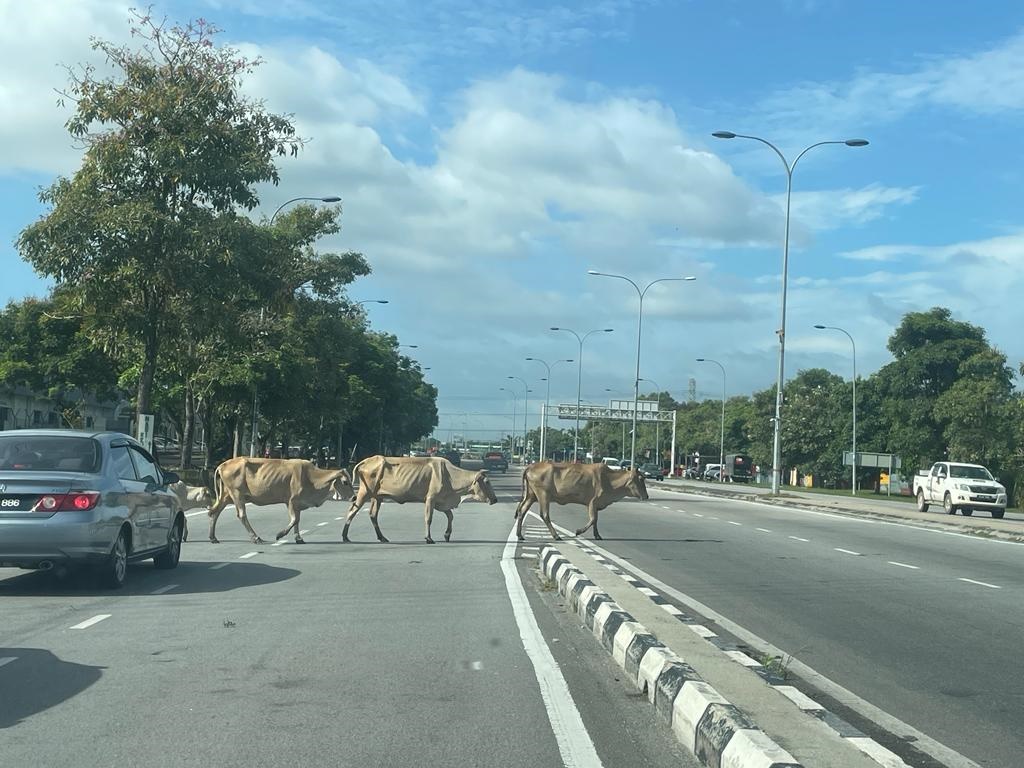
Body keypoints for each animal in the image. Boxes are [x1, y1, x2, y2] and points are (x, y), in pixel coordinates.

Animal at [205, 460, 354, 544]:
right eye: (345, 482)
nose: (353, 498)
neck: (311, 478)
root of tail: (222, 465)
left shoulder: (297, 504)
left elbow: (297, 521)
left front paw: (299, 538)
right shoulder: (291, 501)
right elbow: (294, 520)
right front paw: (280, 534)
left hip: (226, 496)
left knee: (214, 512)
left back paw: (213, 538)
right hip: (237, 495)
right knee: (241, 515)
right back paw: (256, 538)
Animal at [342, 456, 497, 548]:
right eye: (487, 482)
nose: (495, 499)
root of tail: (368, 459)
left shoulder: (441, 502)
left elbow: (450, 515)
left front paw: (447, 534)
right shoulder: (431, 499)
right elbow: (429, 518)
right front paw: (428, 538)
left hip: (377, 496)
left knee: (373, 515)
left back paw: (382, 537)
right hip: (364, 493)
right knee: (352, 511)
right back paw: (345, 536)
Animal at [512, 462, 647, 540]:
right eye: (641, 479)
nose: (646, 496)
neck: (609, 480)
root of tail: (530, 466)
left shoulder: (593, 505)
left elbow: (595, 520)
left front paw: (597, 535)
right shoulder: (592, 502)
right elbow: (593, 519)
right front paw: (578, 531)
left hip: (531, 495)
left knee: (522, 511)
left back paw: (520, 535)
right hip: (543, 495)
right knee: (544, 514)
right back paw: (556, 536)